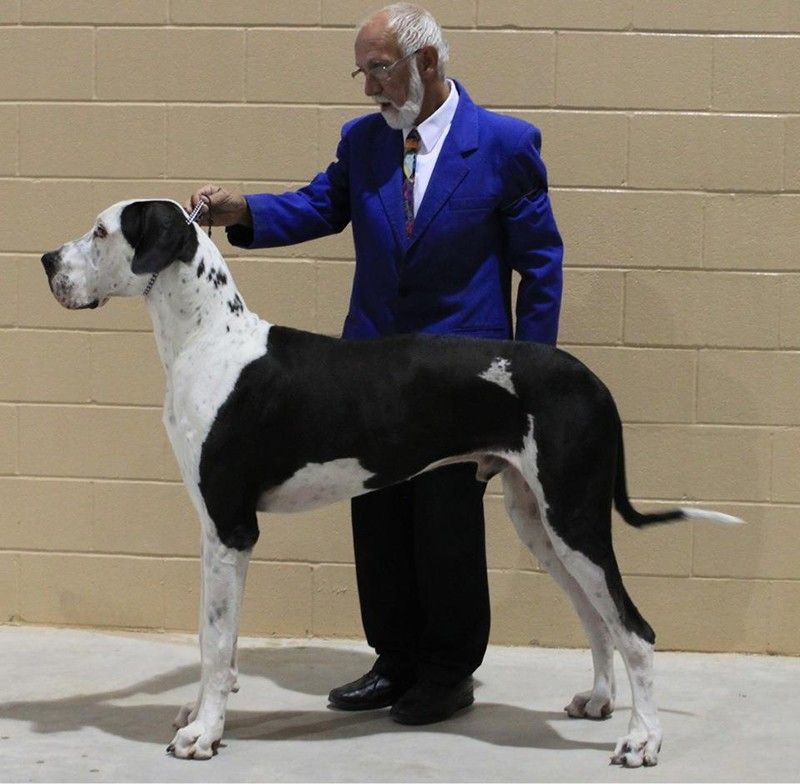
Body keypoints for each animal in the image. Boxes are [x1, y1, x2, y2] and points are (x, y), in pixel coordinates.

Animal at [41, 199, 742, 766]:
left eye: (101, 231)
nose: (46, 259)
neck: (209, 339)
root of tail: (594, 380)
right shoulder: (212, 530)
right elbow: (210, 634)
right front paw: (198, 713)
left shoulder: (232, 527)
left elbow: (216, 642)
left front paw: (204, 734)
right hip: (538, 521)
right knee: (598, 620)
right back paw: (598, 701)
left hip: (574, 517)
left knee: (636, 631)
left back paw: (642, 740)